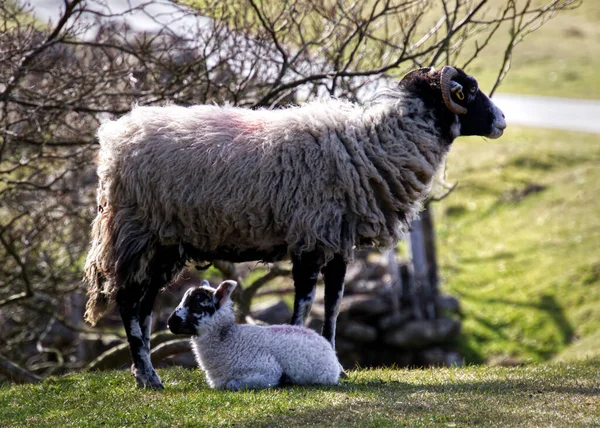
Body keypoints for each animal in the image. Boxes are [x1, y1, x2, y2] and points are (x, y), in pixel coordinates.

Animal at [166, 280, 340, 392]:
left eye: (197, 305)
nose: (170, 323)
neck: (228, 339)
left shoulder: (267, 370)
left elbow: (232, 384)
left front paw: (283, 381)